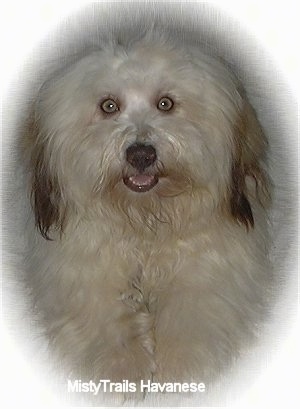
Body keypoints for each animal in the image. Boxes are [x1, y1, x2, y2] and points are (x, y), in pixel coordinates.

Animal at [22, 31, 270, 398]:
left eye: (165, 103)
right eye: (109, 106)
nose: (141, 154)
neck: (145, 223)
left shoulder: (209, 271)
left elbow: (192, 314)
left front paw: (181, 371)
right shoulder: (81, 273)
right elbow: (103, 316)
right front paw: (122, 369)